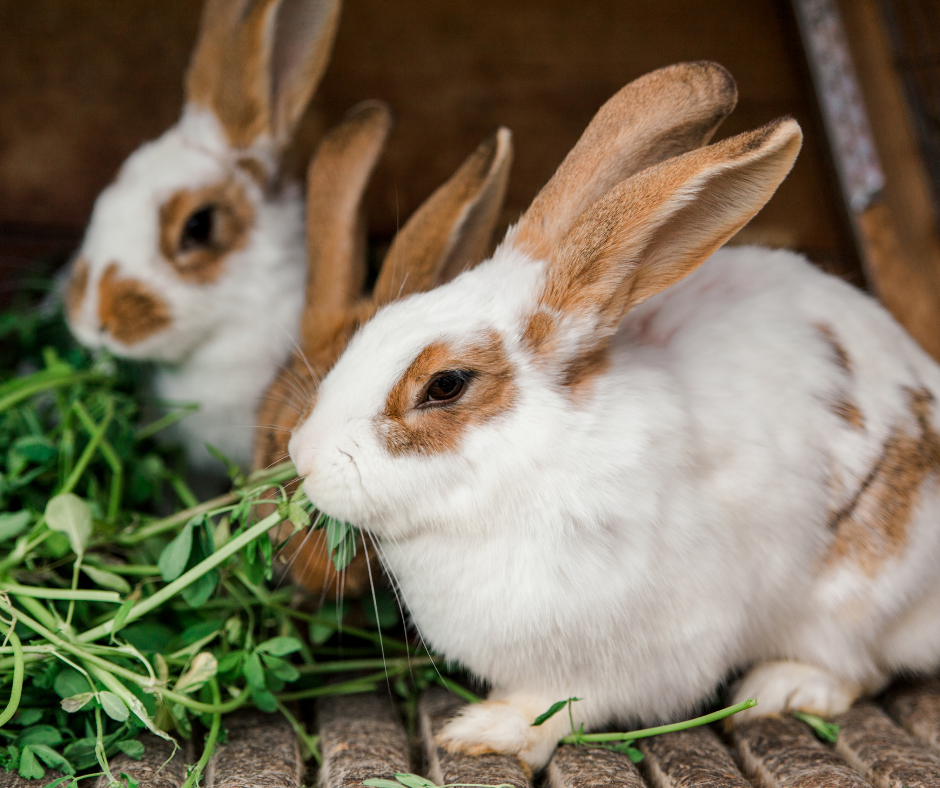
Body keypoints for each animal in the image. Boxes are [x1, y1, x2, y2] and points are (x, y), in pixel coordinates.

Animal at [290, 61, 940, 768]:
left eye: (445, 385)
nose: (302, 456)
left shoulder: (645, 651)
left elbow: (564, 705)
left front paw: (486, 731)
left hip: (858, 592)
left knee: (859, 666)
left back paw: (783, 687)